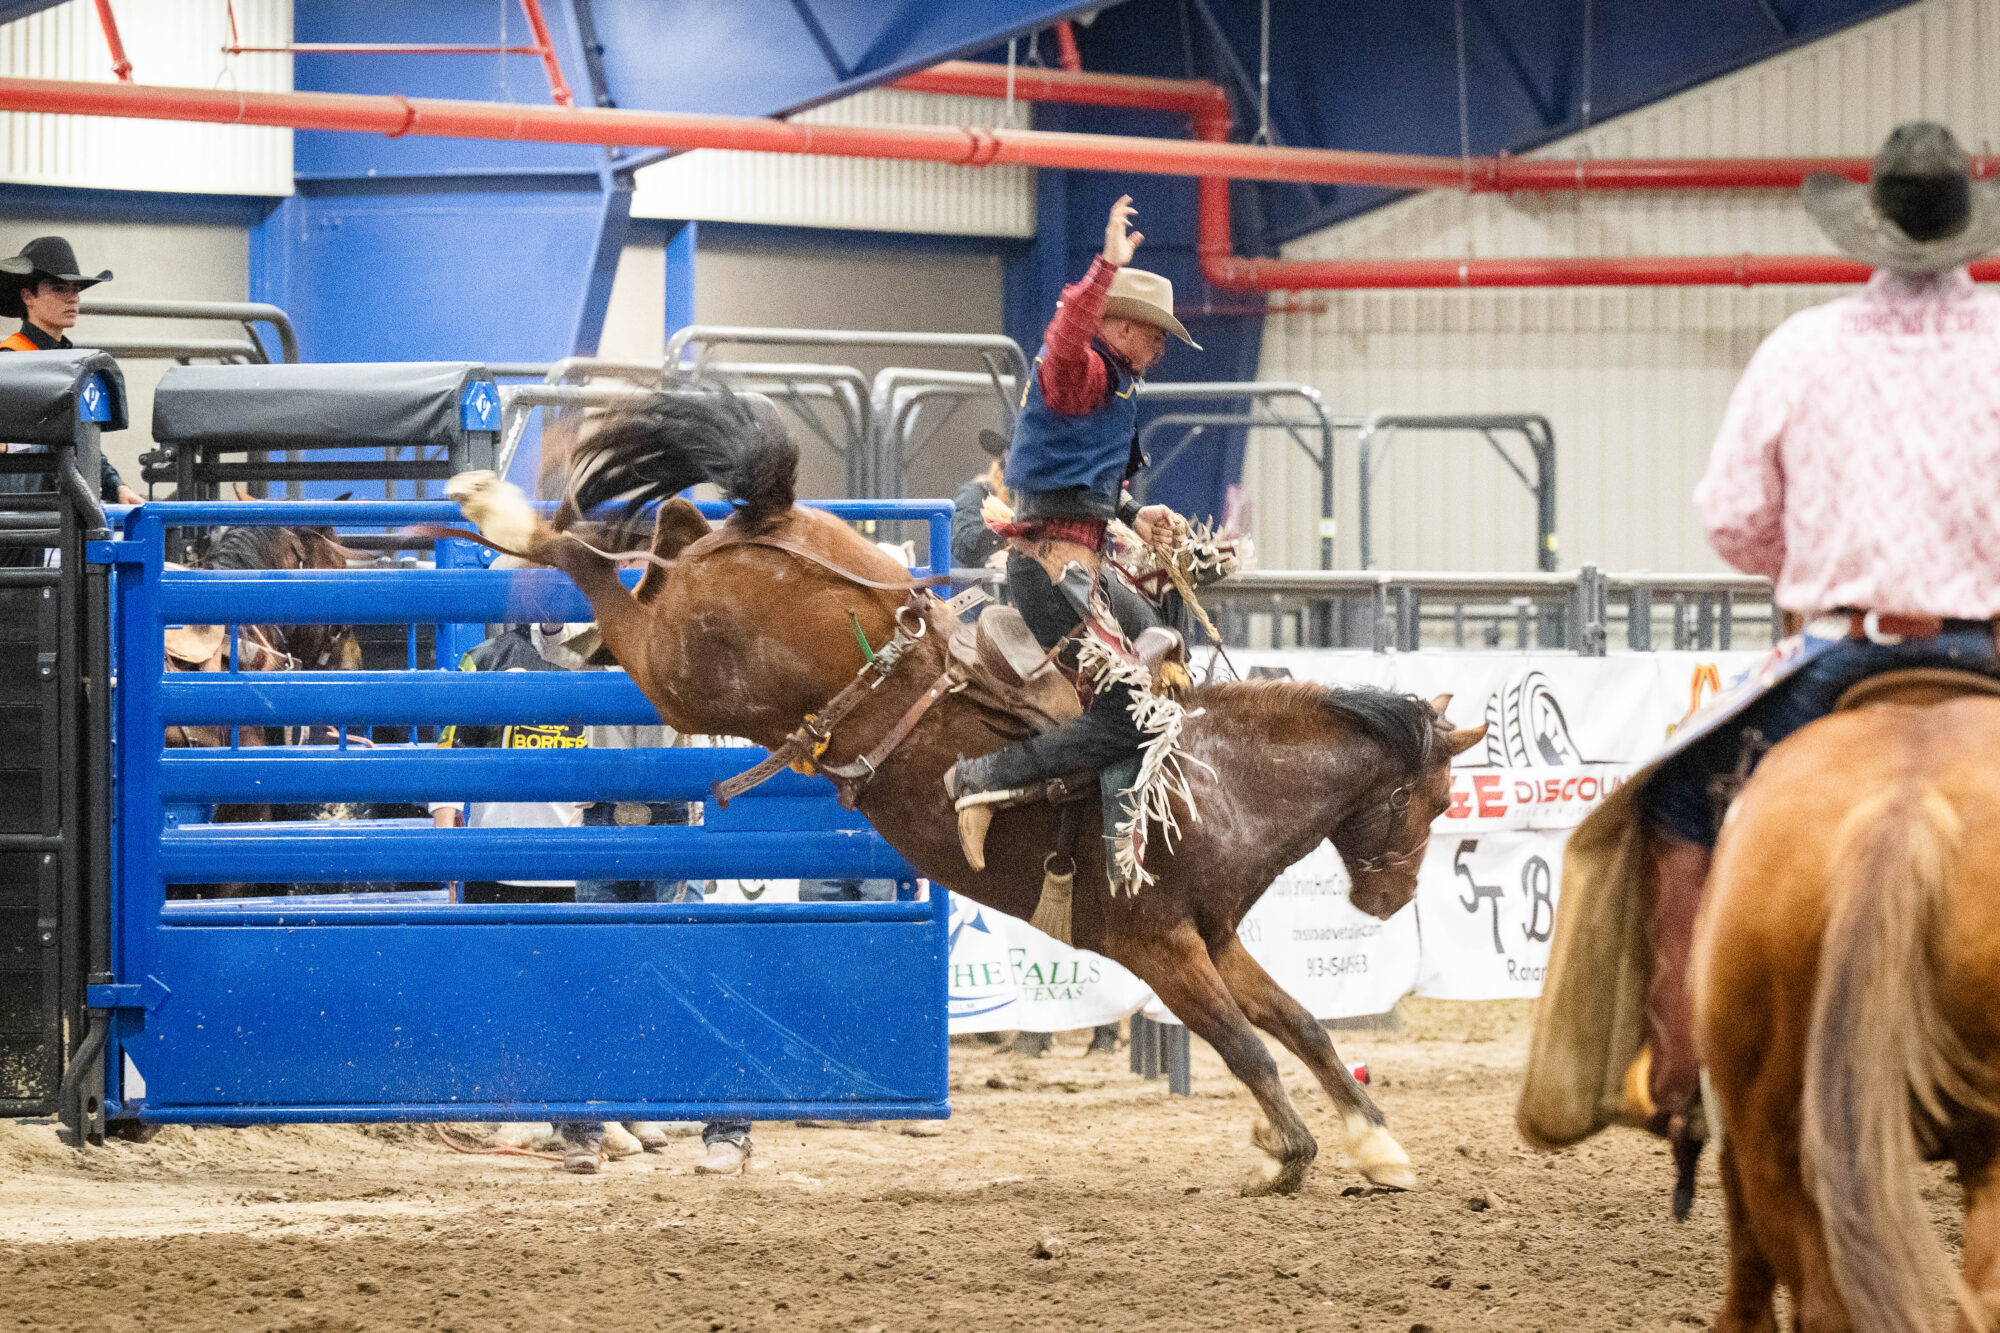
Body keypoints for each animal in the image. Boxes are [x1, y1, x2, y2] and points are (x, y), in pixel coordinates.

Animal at [445, 392, 1485, 1196]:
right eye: (1434, 803)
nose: (1389, 897)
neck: (1213, 782)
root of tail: (782, 520)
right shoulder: (1159, 945)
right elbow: (1248, 1044)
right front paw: (1288, 1152)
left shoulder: (1215, 937)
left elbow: (1301, 1024)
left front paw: (1376, 1144)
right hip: (683, 673)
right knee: (597, 572)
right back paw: (503, 512)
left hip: (688, 631)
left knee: (667, 537)